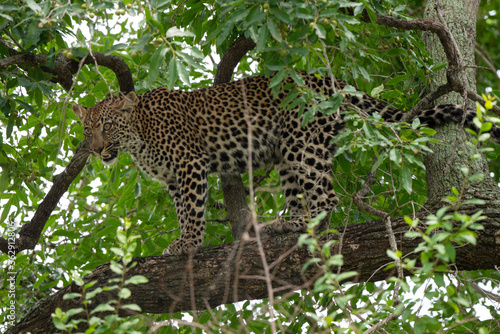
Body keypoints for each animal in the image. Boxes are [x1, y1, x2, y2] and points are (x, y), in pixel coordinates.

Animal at [71, 72, 500, 256]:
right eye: (88, 129)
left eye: (107, 126)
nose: (96, 150)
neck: (138, 137)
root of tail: (329, 81)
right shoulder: (176, 180)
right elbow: (181, 209)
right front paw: (183, 240)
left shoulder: (190, 167)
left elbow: (192, 212)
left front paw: (189, 243)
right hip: (286, 156)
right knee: (302, 197)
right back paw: (287, 225)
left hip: (302, 144)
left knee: (326, 196)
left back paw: (310, 228)